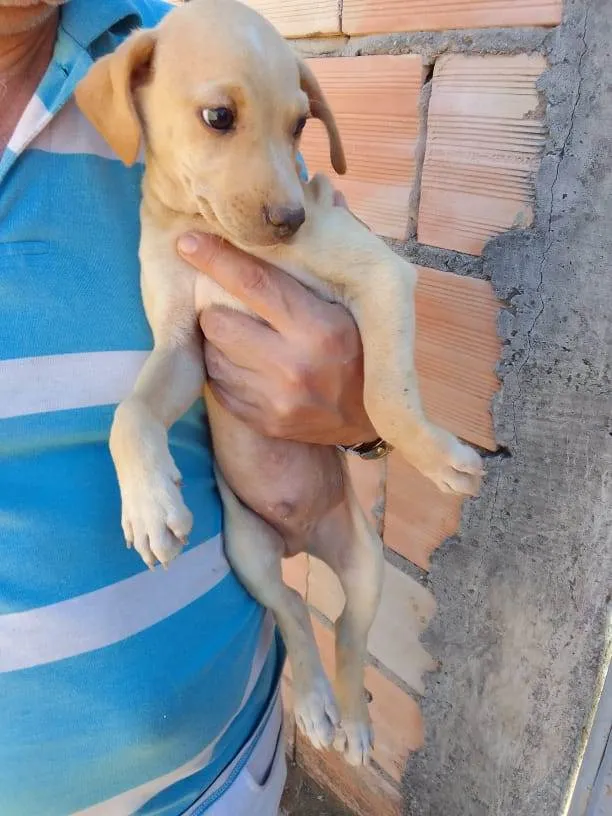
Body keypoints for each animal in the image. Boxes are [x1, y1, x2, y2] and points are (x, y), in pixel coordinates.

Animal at [74, 0, 482, 764]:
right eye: (218, 117)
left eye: (300, 126)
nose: (293, 220)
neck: (210, 233)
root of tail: (303, 543)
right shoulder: (182, 346)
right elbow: (130, 412)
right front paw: (148, 505)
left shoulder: (380, 275)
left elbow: (385, 395)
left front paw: (437, 456)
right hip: (250, 552)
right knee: (294, 613)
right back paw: (317, 707)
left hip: (366, 560)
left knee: (348, 634)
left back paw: (351, 723)